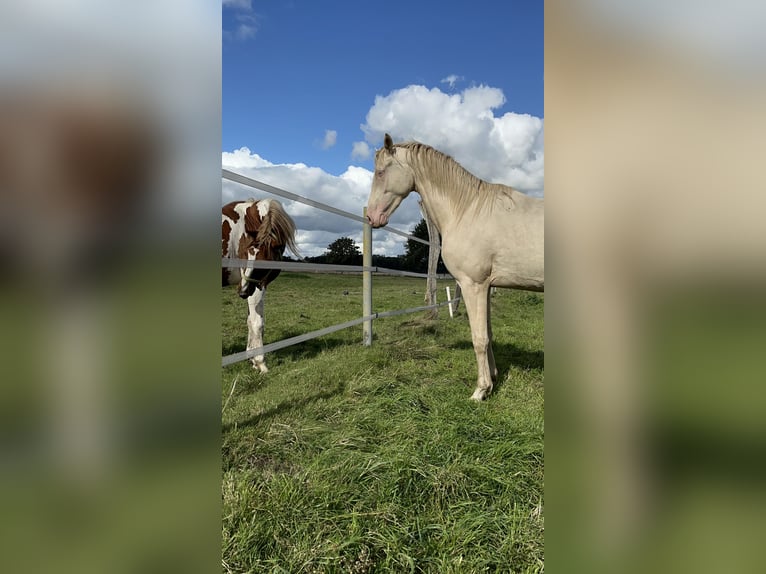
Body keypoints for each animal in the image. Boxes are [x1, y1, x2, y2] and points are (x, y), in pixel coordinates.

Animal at [220, 200, 298, 376]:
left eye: (263, 262)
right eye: (244, 254)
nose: (241, 292)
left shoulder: (258, 284)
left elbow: (250, 320)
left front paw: (252, 359)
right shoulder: (256, 286)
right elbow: (257, 322)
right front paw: (260, 362)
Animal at [368, 134, 544, 402]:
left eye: (380, 172)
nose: (371, 217)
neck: (468, 210)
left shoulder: (473, 286)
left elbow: (479, 338)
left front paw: (480, 391)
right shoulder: (486, 286)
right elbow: (488, 333)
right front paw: (493, 378)